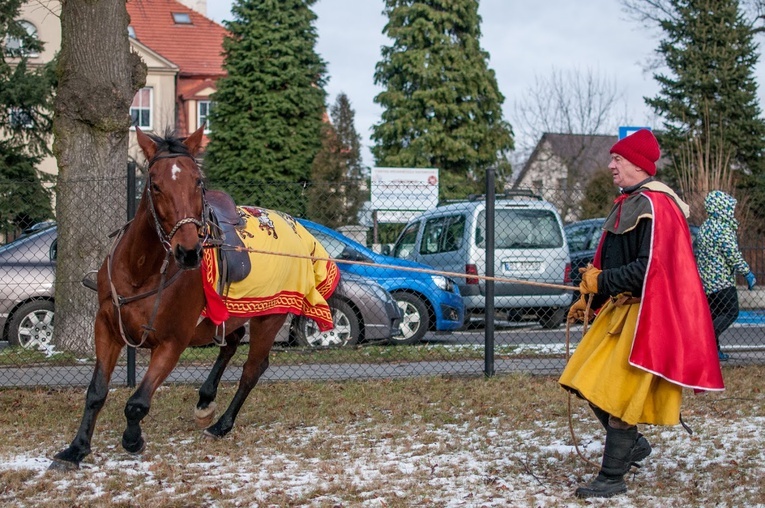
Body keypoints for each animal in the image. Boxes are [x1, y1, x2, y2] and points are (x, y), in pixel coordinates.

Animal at [49, 127, 326, 472]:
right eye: (155, 184)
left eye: (198, 181)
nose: (189, 251)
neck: (142, 270)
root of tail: (301, 231)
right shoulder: (107, 328)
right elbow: (97, 392)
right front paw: (76, 449)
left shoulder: (173, 342)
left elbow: (137, 402)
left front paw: (133, 439)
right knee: (231, 342)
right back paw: (206, 400)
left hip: (268, 318)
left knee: (252, 369)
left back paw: (221, 425)